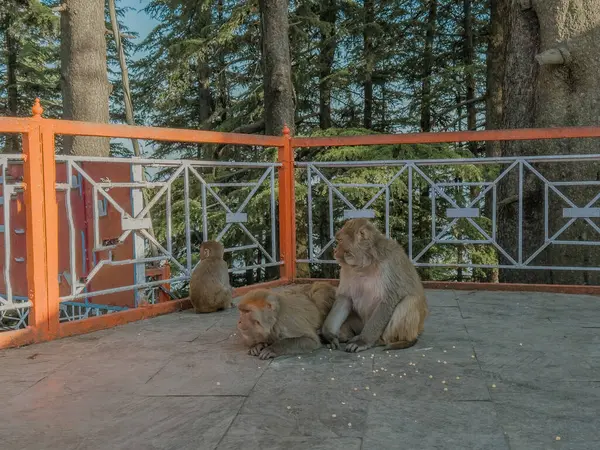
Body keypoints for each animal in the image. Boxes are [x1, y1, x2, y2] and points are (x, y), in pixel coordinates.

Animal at [322, 218, 428, 352]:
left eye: (340, 241)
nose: (335, 251)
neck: (366, 263)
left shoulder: (389, 264)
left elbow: (388, 300)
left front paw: (363, 341)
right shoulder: (346, 269)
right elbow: (345, 297)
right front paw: (329, 336)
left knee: (409, 301)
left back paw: (388, 341)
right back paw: (345, 336)